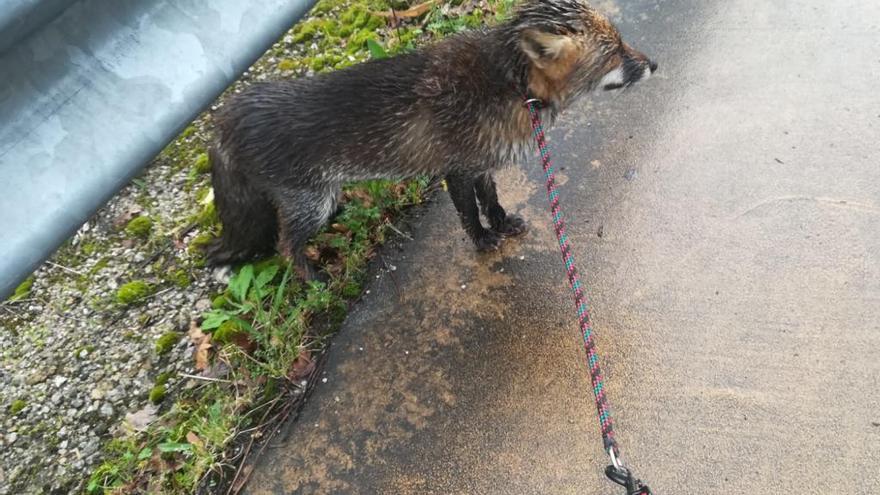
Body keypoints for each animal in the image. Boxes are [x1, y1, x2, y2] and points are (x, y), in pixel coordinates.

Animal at [206, 0, 656, 280]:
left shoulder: (482, 165)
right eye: (616, 53)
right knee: (285, 245)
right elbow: (470, 214)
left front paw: (503, 224)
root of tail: (228, 113)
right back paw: (312, 278)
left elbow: (491, 201)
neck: (511, 87)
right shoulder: (455, 171)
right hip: (310, 204)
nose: (654, 64)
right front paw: (483, 241)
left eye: (623, 43)